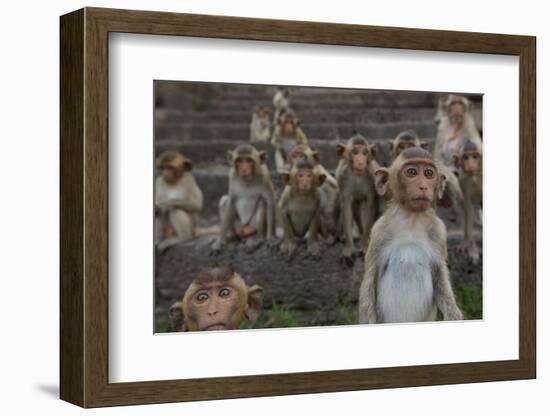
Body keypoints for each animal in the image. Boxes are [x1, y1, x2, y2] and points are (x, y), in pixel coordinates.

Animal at [358, 148, 466, 324]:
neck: (411, 219)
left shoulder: (438, 231)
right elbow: (369, 281)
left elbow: (440, 277)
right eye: (412, 172)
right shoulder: (379, 231)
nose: (423, 186)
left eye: (429, 173)